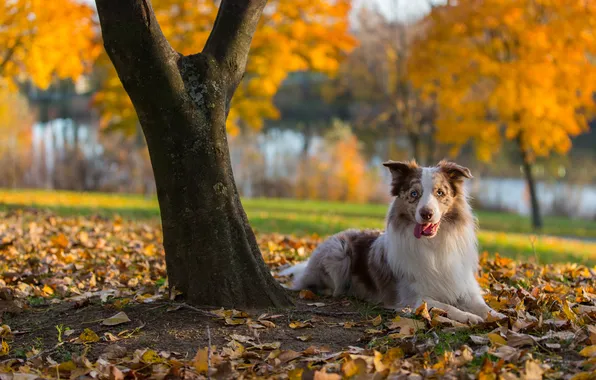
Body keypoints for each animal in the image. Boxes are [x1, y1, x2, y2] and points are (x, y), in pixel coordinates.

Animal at [282, 160, 506, 324]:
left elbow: (483, 306)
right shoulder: (414, 297)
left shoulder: (463, 286)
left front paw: (500, 316)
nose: (426, 213)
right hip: (338, 251)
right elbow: (446, 306)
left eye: (440, 192)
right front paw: (469, 317)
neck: (434, 245)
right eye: (414, 194)